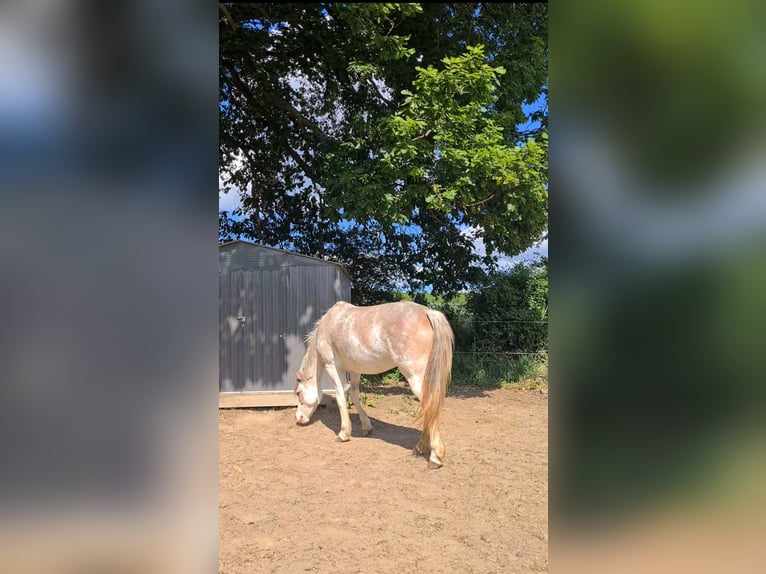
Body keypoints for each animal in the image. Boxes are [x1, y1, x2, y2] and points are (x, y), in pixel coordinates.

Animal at [294, 300, 454, 468]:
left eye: (298, 393)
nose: (298, 418)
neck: (329, 324)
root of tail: (428, 312)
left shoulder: (332, 367)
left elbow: (340, 396)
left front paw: (344, 433)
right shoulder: (354, 370)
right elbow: (354, 394)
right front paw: (366, 426)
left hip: (415, 378)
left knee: (430, 405)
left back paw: (435, 456)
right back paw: (421, 447)